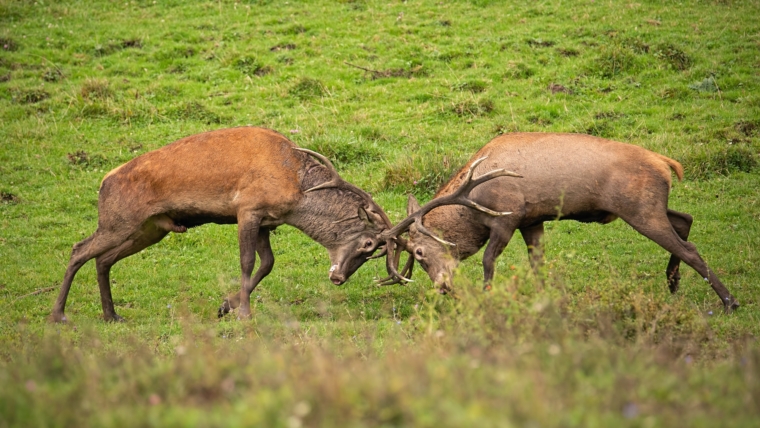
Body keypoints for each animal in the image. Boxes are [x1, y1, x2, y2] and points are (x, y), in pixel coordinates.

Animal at [51, 126, 396, 323]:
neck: (296, 188)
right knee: (79, 249)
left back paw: (111, 315)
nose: (339, 278)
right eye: (369, 244)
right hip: (118, 221)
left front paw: (225, 306)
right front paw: (243, 313)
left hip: (149, 230)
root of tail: (104, 182)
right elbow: (247, 262)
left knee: (103, 259)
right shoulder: (247, 209)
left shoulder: (266, 220)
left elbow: (267, 263)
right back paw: (58, 315)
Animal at [381, 132, 740, 313]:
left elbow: (488, 261)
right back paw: (672, 281)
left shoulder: (508, 217)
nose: (443, 287)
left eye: (419, 253)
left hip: (640, 209)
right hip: (649, 207)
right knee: (685, 220)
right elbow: (538, 264)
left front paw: (486, 298)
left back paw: (729, 301)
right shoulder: (532, 220)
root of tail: (667, 163)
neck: (474, 206)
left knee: (690, 247)